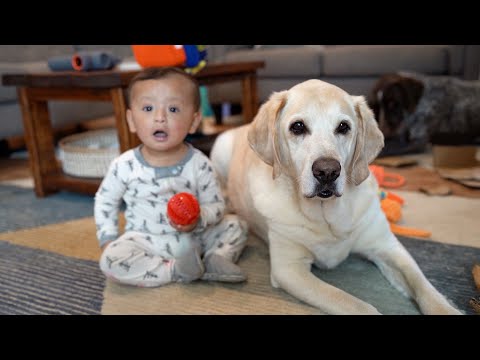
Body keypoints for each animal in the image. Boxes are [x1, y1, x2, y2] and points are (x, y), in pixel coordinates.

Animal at [212, 79, 464, 316]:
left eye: (343, 127)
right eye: (298, 127)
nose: (327, 171)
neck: (327, 215)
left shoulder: (387, 246)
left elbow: (424, 286)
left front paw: (446, 308)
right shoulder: (289, 269)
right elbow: (355, 304)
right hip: (220, 149)